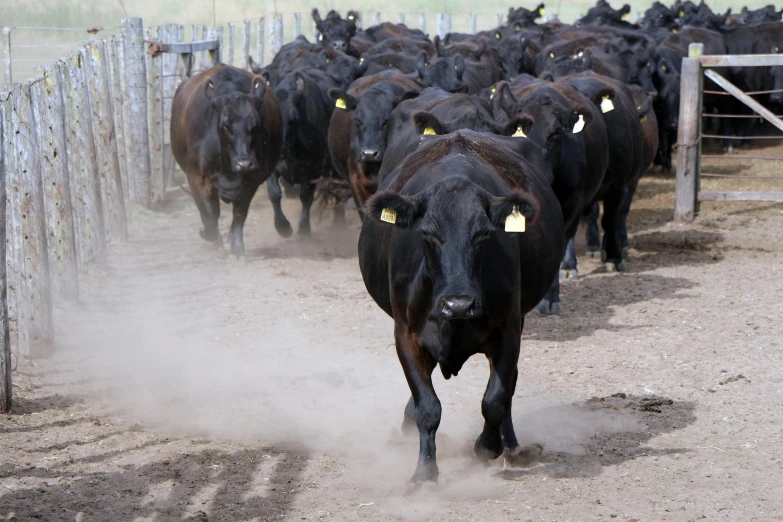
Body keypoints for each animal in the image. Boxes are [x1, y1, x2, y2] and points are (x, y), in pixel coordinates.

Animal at [171, 65, 282, 256]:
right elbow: (208, 214)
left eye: (255, 124)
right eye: (225, 126)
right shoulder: (196, 178)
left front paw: (237, 249)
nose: (243, 163)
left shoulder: (251, 181)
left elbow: (239, 215)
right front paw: (211, 238)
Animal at [358, 130, 568, 484]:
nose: (459, 304)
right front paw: (425, 472)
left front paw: (487, 446)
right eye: (428, 234)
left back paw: (511, 445)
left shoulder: (509, 330)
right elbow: (428, 407)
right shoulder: (406, 334)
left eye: (483, 235)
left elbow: (496, 399)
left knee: (508, 387)